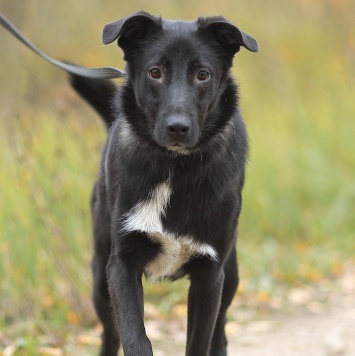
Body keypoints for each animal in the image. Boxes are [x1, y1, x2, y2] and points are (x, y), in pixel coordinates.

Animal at [70, 11, 258, 356]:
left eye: (203, 74)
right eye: (155, 72)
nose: (177, 128)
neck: (174, 167)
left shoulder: (210, 275)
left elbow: (199, 341)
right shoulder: (122, 265)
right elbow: (134, 337)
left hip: (231, 276)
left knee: (221, 331)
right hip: (100, 279)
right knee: (109, 336)